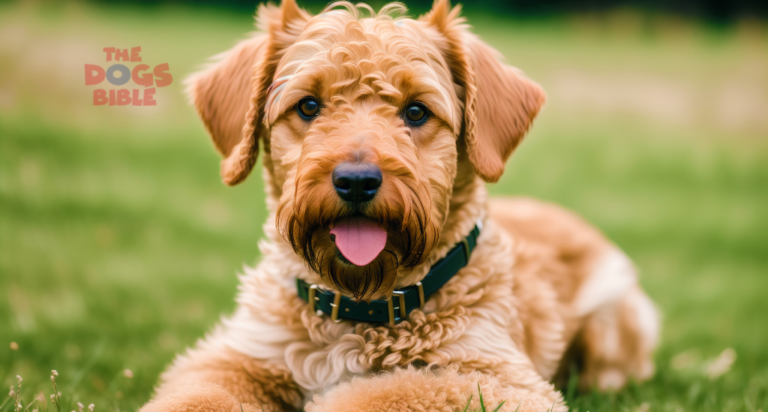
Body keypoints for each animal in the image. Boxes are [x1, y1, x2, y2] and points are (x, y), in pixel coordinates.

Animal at [141, 1, 656, 410]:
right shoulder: (236, 356)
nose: (356, 181)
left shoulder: (500, 380)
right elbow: (196, 398)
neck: (359, 308)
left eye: (415, 111)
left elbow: (376, 394)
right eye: (308, 106)